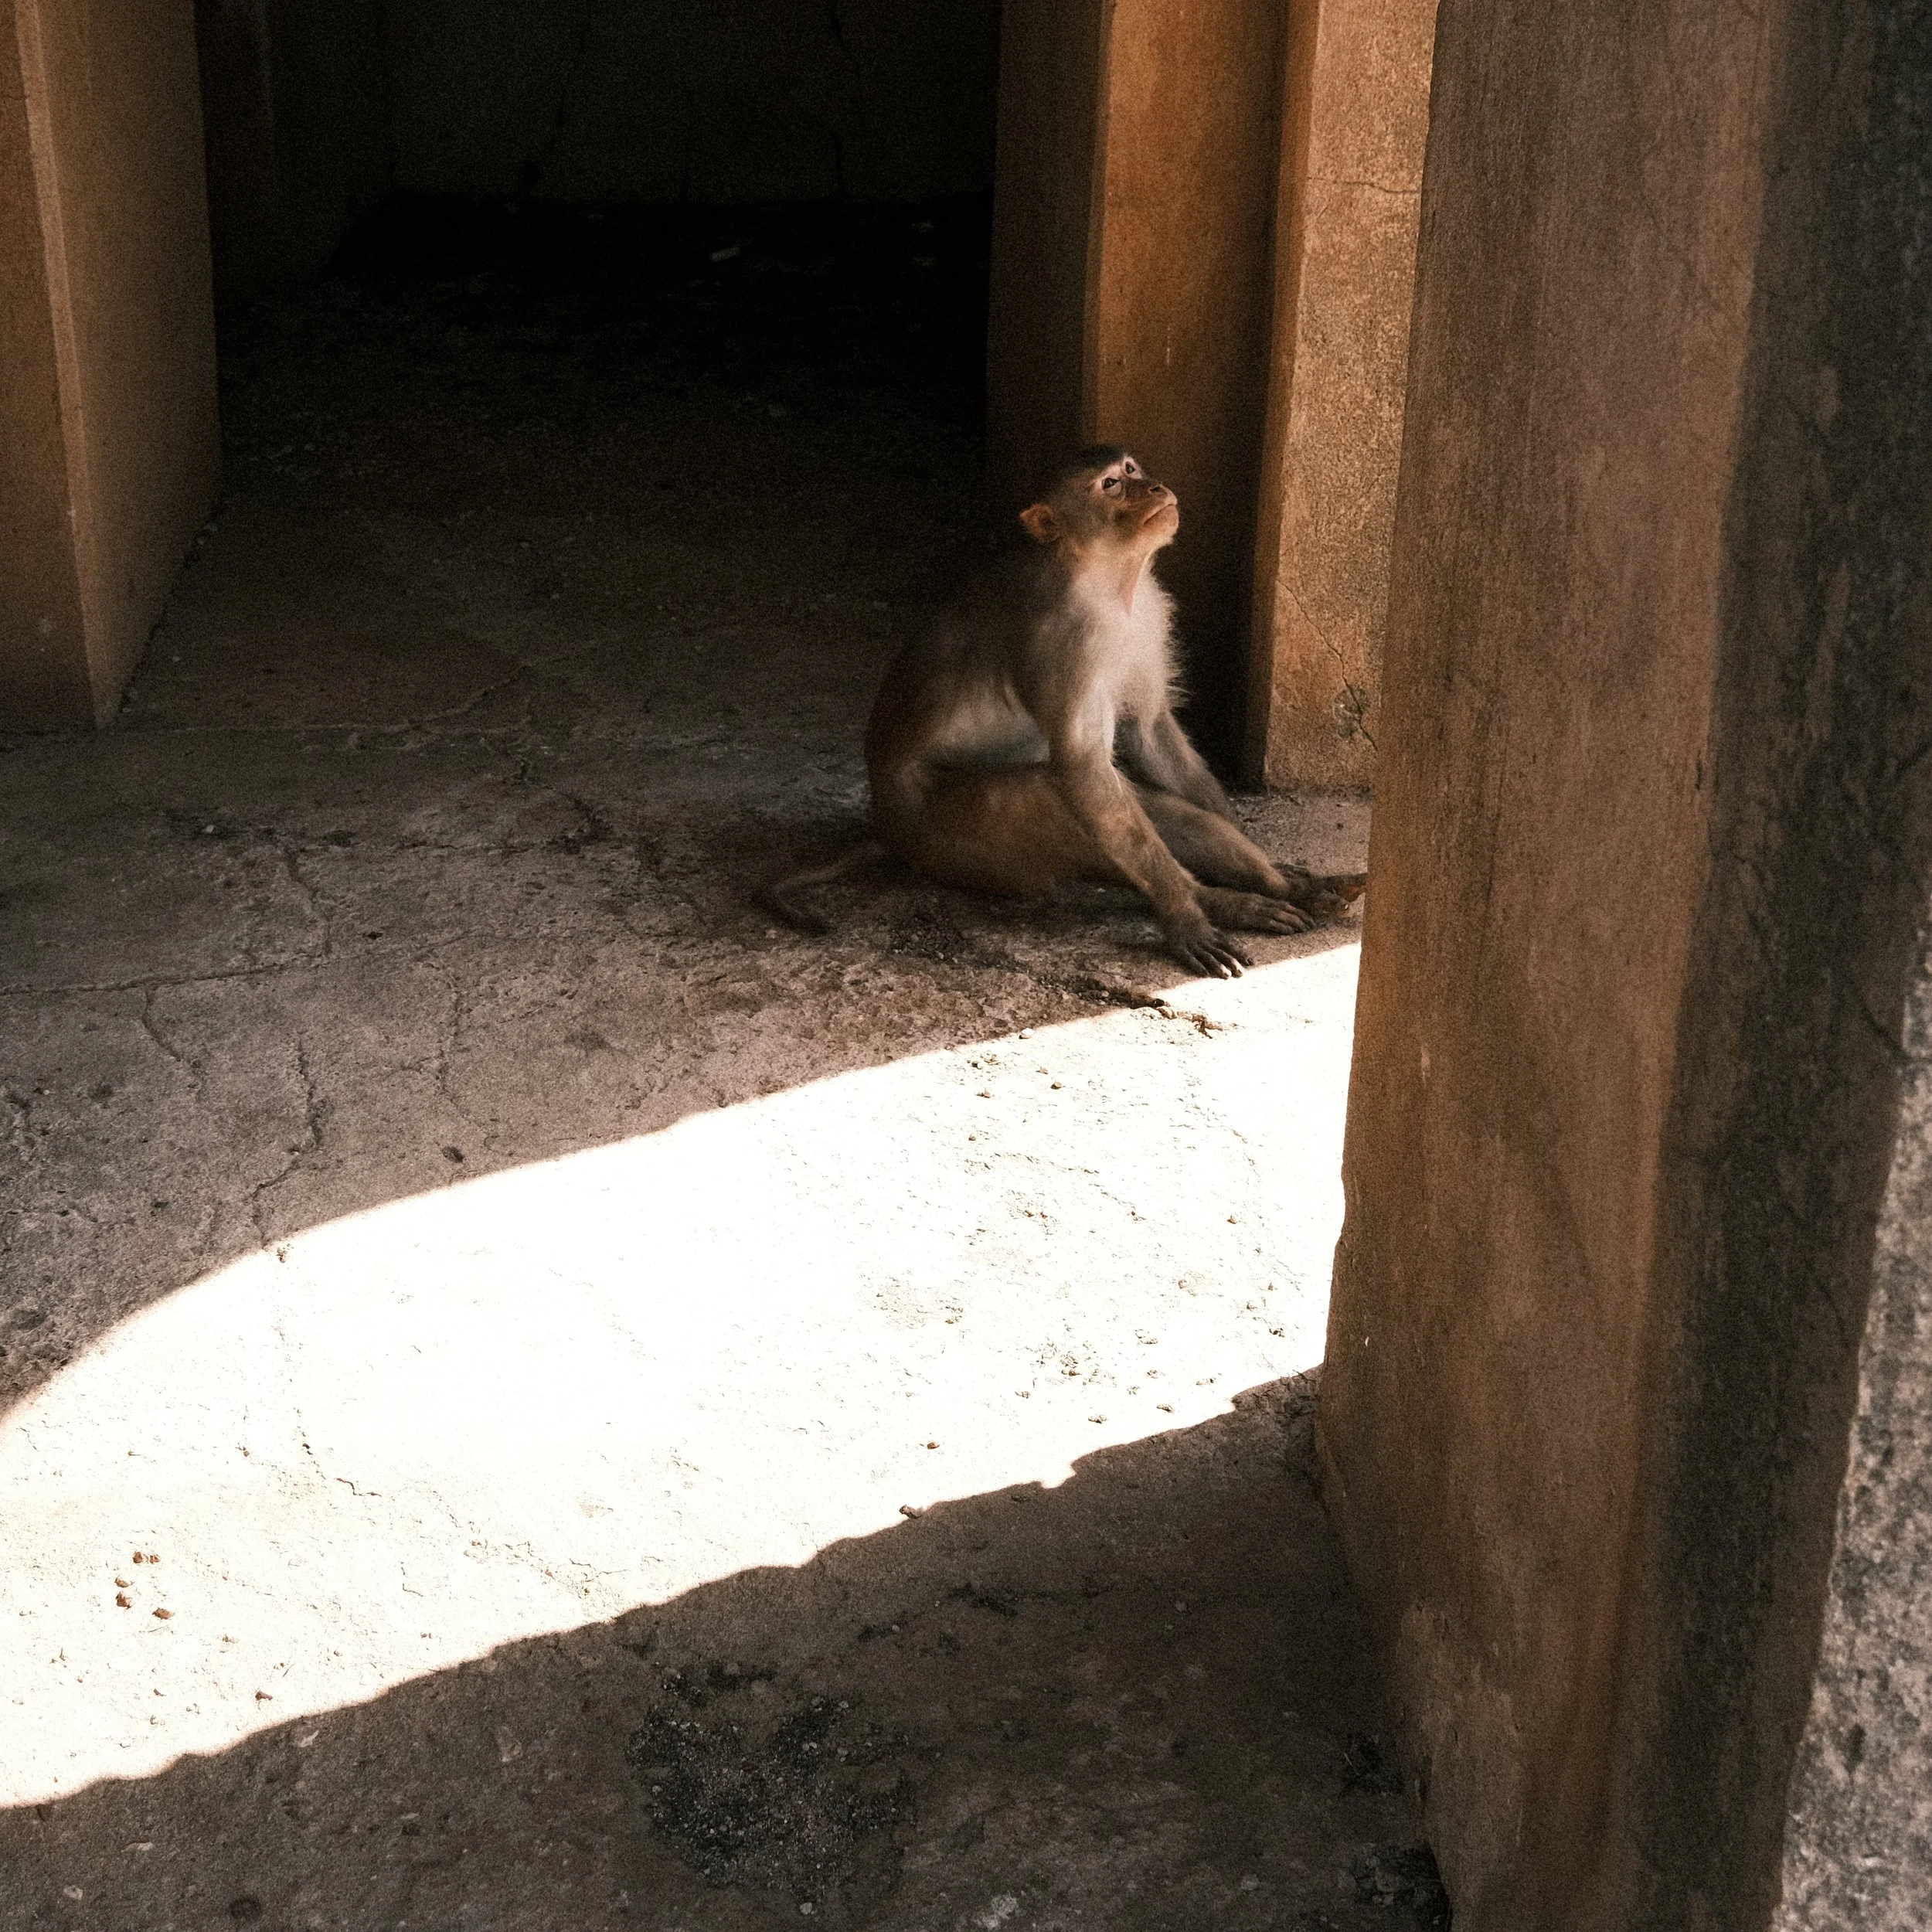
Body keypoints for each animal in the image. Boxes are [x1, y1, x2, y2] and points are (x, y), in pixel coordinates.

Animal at [763, 446, 1365, 978]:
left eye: (1131, 469)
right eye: (1111, 485)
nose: (1154, 487)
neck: (1105, 578)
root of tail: (885, 828)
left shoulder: (1149, 613)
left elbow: (1150, 729)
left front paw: (1271, 864)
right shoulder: (1069, 642)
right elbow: (1081, 766)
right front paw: (1185, 917)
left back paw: (1288, 889)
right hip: (946, 836)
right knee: (1041, 793)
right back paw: (1210, 904)